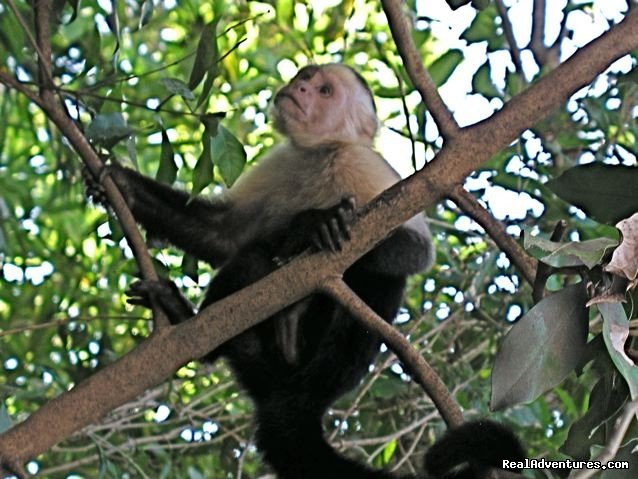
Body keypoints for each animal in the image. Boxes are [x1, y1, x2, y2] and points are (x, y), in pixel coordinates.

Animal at [86, 64, 524, 479]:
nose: (296, 88)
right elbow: (225, 237)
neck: (321, 152)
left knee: (376, 279)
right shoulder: (281, 161)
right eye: (304, 77)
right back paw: (191, 323)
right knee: (250, 262)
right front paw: (123, 184)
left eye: (324, 90)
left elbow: (417, 252)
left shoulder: (361, 164)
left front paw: (307, 229)